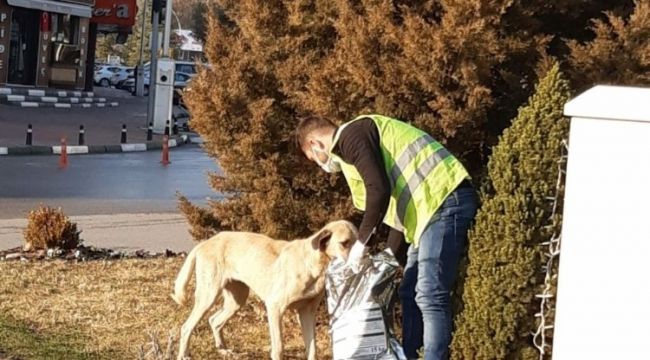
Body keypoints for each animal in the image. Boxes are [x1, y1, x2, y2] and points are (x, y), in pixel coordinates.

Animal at [170, 219, 356, 360]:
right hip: (208, 296)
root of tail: (205, 243)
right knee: (186, 327)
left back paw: (223, 350)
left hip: (237, 299)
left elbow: (312, 349)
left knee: (214, 320)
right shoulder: (275, 308)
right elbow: (279, 348)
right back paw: (184, 355)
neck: (314, 264)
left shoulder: (307, 312)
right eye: (344, 243)